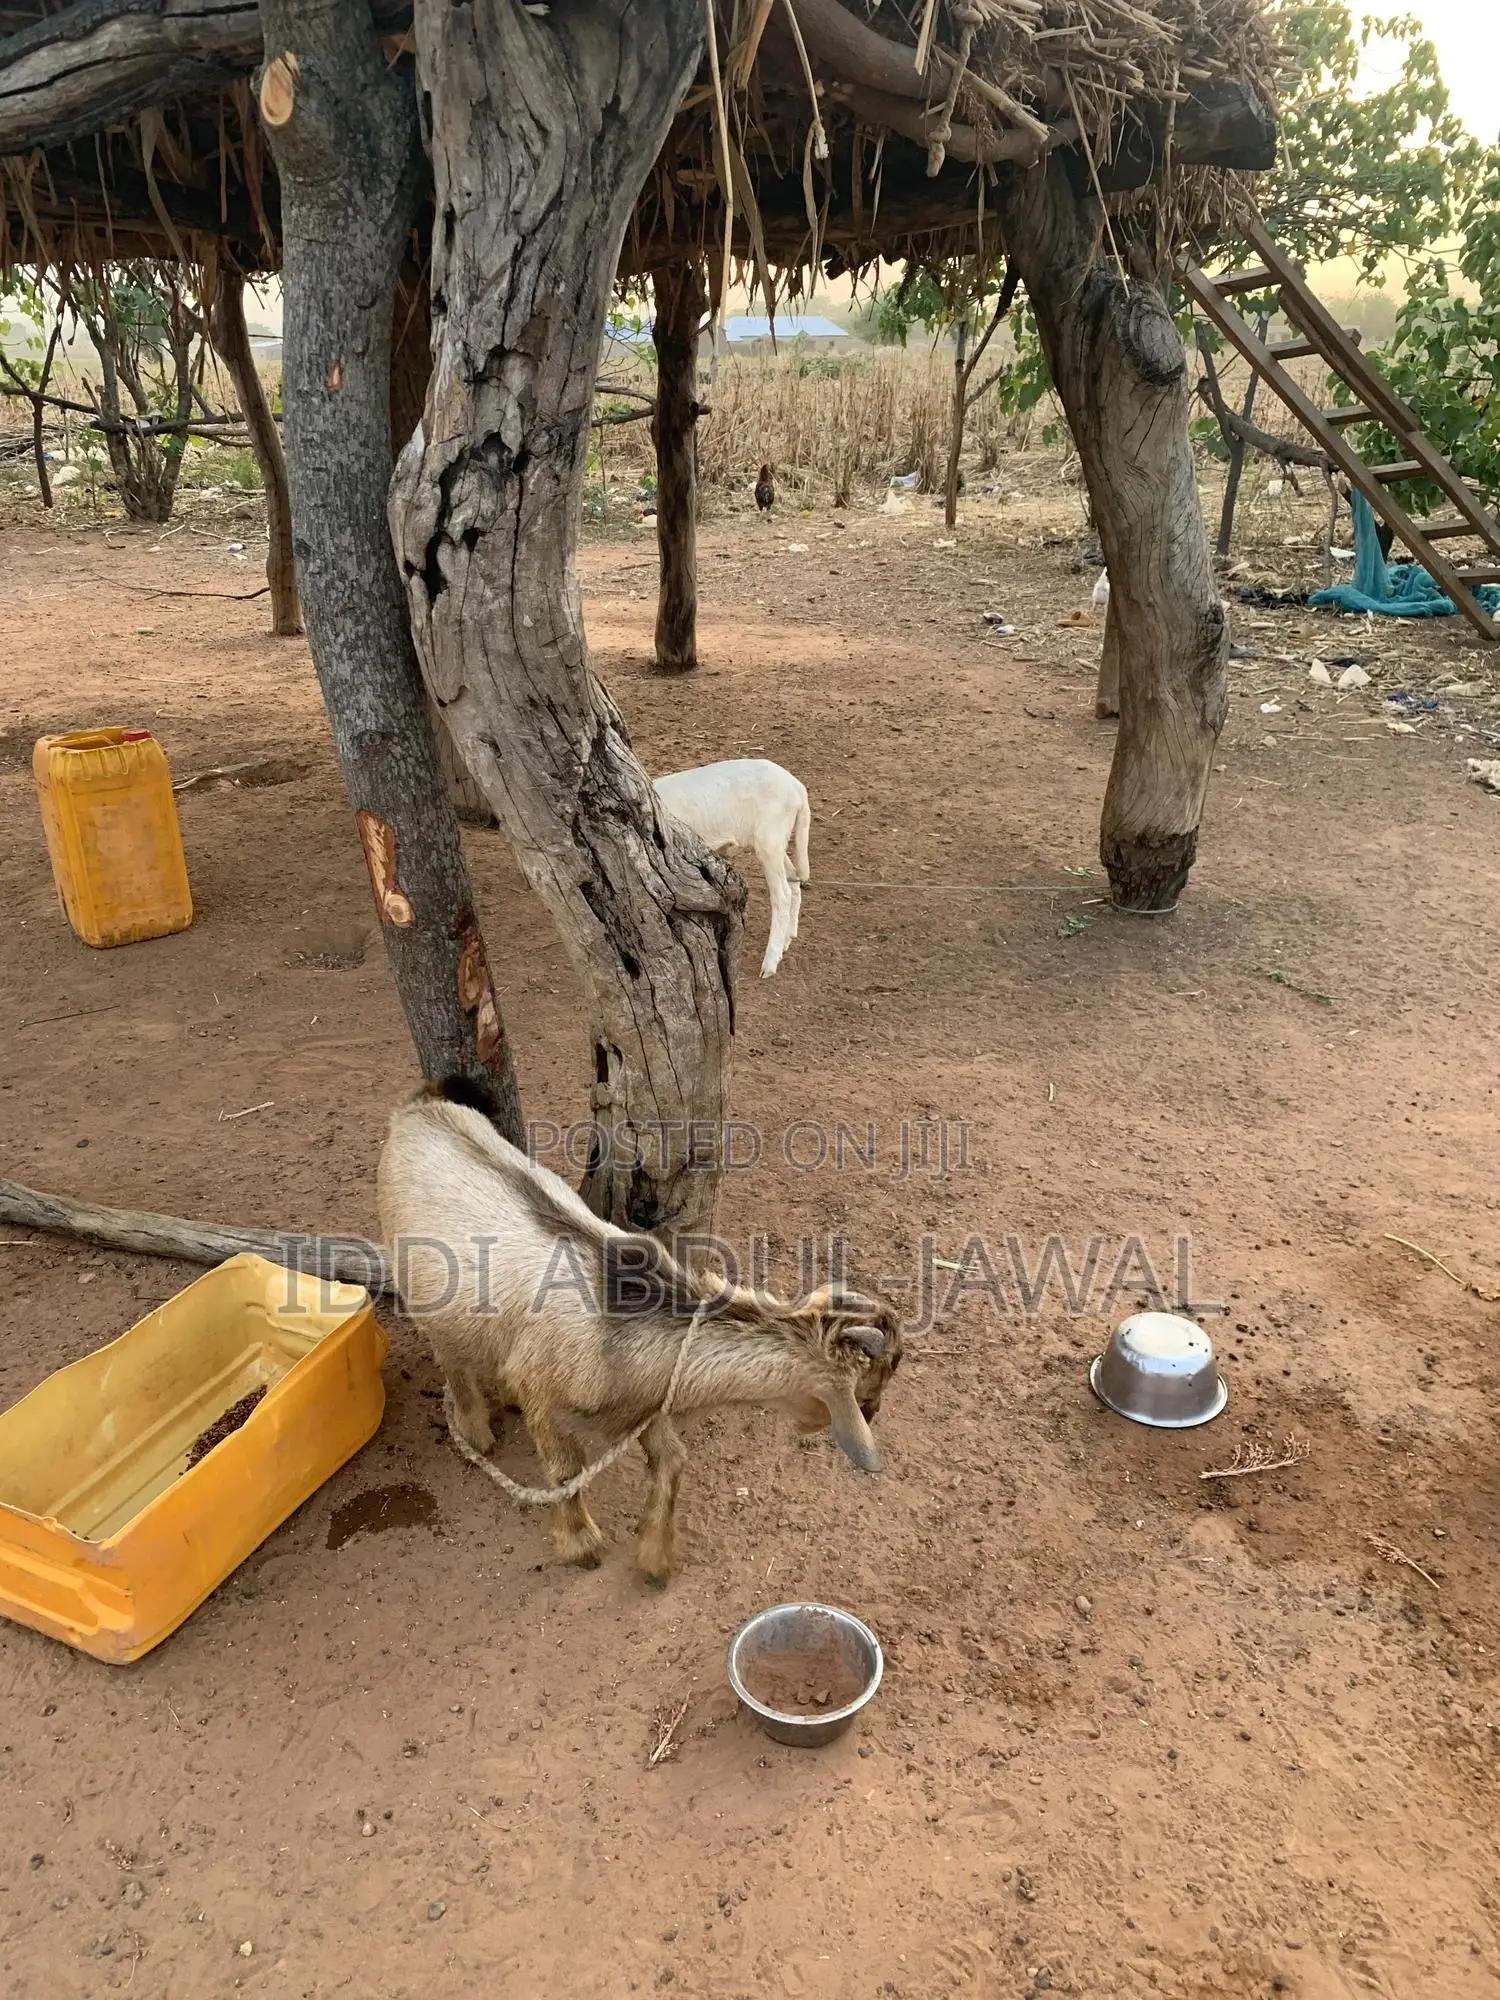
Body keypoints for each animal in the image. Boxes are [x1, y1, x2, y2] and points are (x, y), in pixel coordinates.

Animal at [378, 1084, 901, 1584]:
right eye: (864, 1388)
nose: (875, 1413)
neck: (617, 1325)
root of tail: (414, 1110)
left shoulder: (647, 1400)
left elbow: (672, 1460)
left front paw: (655, 1559)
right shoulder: (545, 1396)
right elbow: (565, 1472)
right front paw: (582, 1546)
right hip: (421, 1290)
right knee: (450, 1358)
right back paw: (476, 1431)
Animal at [652, 758, 811, 977]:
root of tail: (797, 787)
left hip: (770, 837)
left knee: (782, 895)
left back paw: (770, 963)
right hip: (774, 841)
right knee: (793, 878)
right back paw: (787, 939)